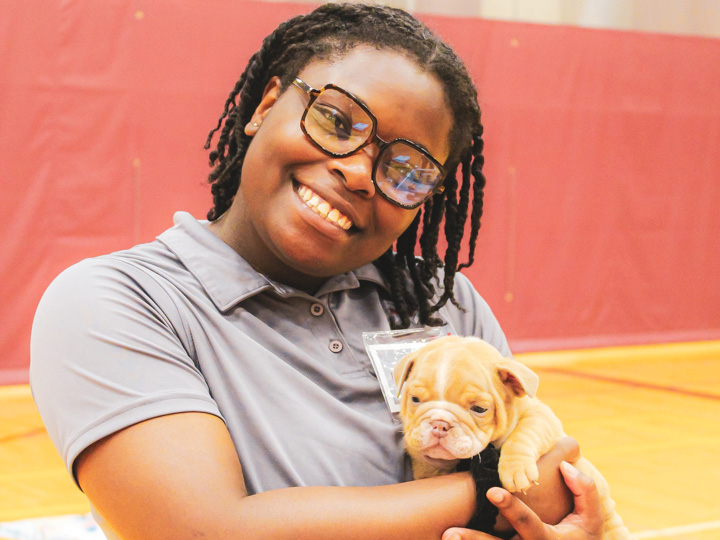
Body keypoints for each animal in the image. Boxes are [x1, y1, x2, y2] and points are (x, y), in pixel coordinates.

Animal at [394, 336, 632, 536]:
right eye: (414, 399)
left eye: (479, 409)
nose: (440, 424)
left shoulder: (541, 416)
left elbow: (524, 434)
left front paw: (516, 470)